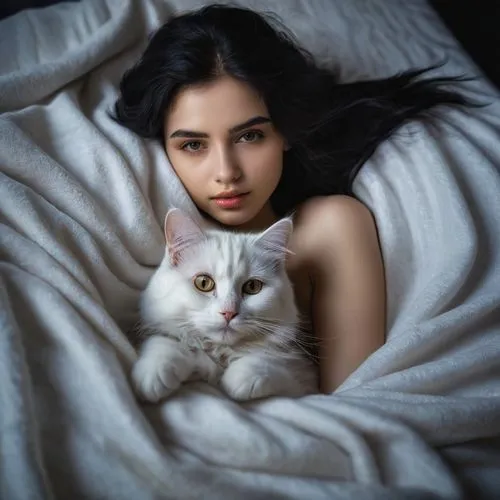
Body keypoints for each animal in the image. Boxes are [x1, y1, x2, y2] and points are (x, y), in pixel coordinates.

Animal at [131, 207, 318, 402]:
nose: (229, 312)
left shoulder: (305, 379)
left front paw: (241, 377)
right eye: (203, 283)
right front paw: (153, 374)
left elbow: (271, 362)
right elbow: (165, 341)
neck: (219, 353)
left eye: (253, 287)